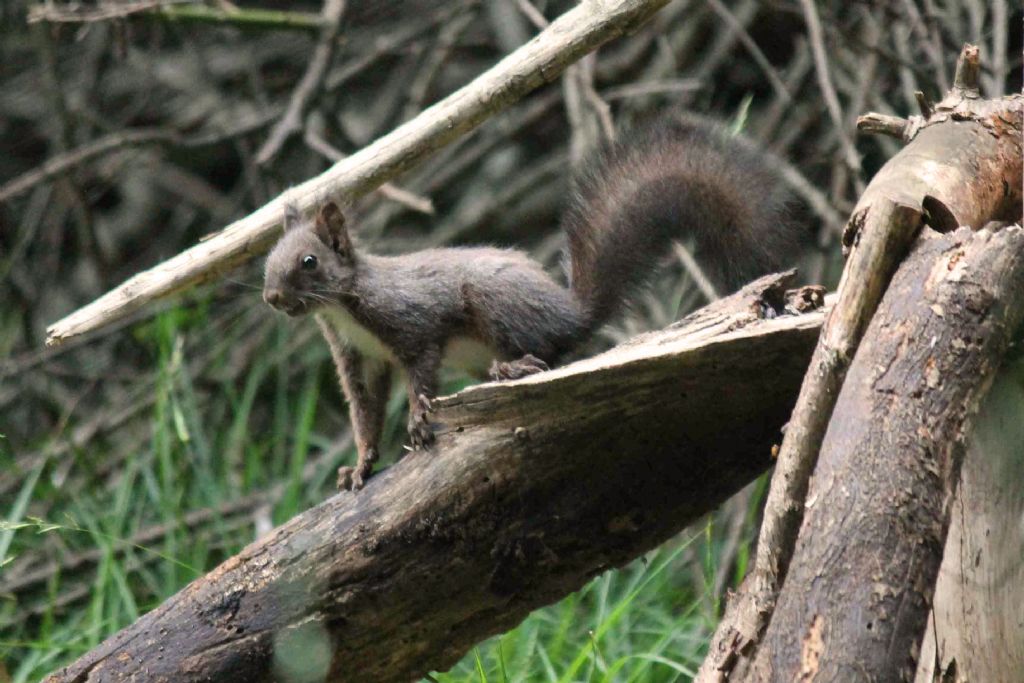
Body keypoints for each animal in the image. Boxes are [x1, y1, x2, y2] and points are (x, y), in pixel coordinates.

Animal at [260, 117, 802, 491]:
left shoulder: (415, 320)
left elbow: (422, 372)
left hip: (494, 303)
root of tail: (571, 313)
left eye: (309, 261)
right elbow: (365, 414)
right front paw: (360, 465)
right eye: (267, 258)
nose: (272, 297)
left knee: (547, 354)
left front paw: (417, 419)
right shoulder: (359, 361)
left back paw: (513, 367)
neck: (345, 308)